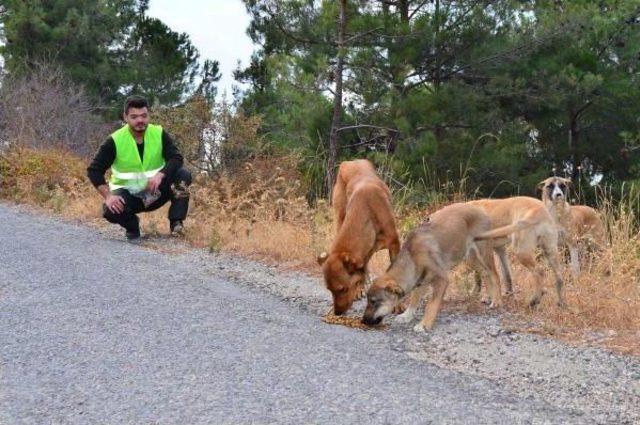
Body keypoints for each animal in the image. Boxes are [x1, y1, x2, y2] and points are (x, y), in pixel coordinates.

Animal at [316, 159, 400, 314]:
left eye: (342, 289)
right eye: (329, 290)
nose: (337, 313)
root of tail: (351, 161)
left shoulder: (394, 243)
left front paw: (398, 305)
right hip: (339, 216)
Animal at [360, 202, 504, 332]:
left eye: (374, 302)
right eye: (368, 301)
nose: (363, 321)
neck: (412, 256)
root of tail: (481, 210)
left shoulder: (442, 280)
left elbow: (431, 305)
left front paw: (424, 324)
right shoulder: (420, 280)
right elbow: (414, 300)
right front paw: (407, 316)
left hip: (484, 253)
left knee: (494, 275)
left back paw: (497, 300)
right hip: (470, 258)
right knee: (485, 273)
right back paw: (489, 296)